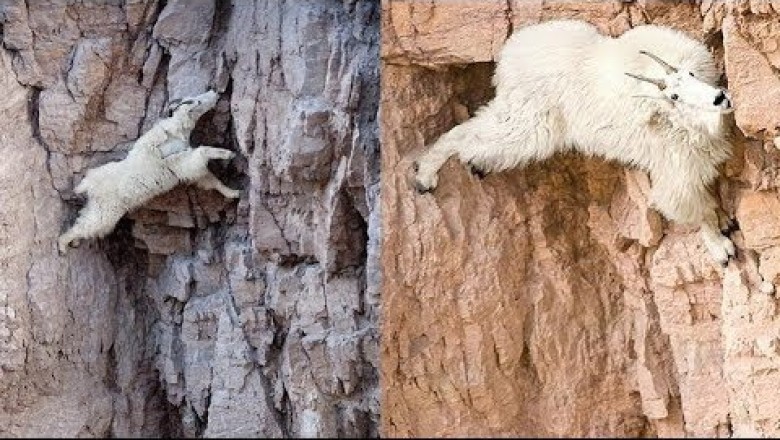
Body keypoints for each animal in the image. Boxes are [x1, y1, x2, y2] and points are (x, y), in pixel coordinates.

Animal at [58, 90, 239, 254]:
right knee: (87, 226)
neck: (176, 132)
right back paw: (62, 245)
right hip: (106, 212)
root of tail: (88, 185)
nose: (214, 93)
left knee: (83, 219)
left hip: (97, 207)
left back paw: (73, 242)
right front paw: (228, 153)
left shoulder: (187, 166)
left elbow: (209, 179)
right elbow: (203, 152)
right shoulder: (181, 162)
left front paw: (233, 192)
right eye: (196, 102)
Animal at [412, 20, 736, 265]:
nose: (720, 98)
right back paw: (425, 175)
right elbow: (696, 209)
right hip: (529, 125)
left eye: (691, 73)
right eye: (674, 96)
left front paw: (723, 220)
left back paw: (474, 165)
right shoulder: (676, 171)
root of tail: (508, 58)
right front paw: (722, 248)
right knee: (466, 136)